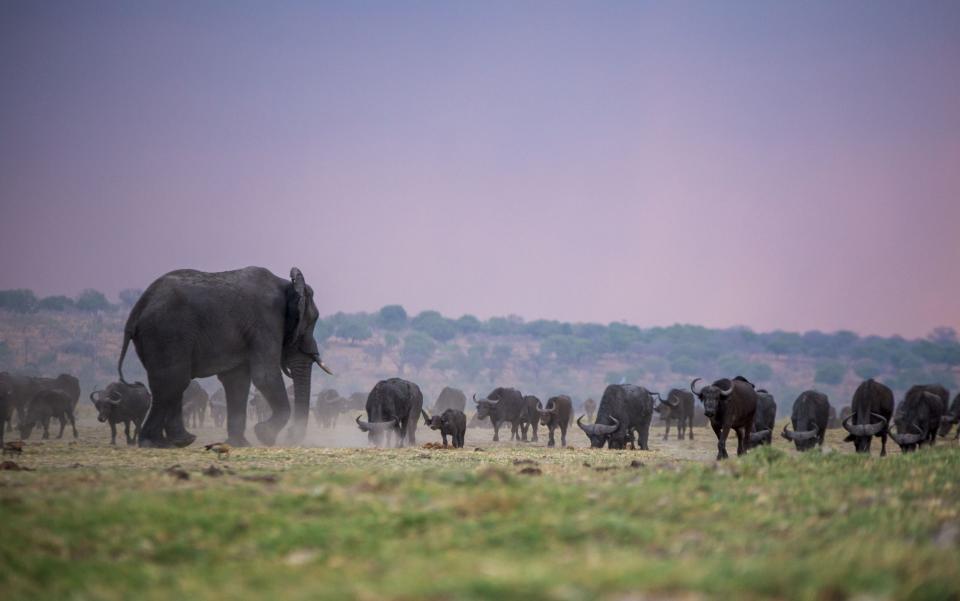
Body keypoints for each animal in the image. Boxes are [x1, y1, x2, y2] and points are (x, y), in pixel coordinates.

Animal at [117, 266, 334, 446]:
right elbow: (265, 375)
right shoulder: (265, 322)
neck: (287, 285)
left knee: (172, 384)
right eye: (311, 322)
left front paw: (240, 444)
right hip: (166, 332)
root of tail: (138, 308)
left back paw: (179, 441)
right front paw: (264, 435)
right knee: (174, 380)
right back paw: (156, 443)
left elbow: (237, 381)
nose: (290, 437)